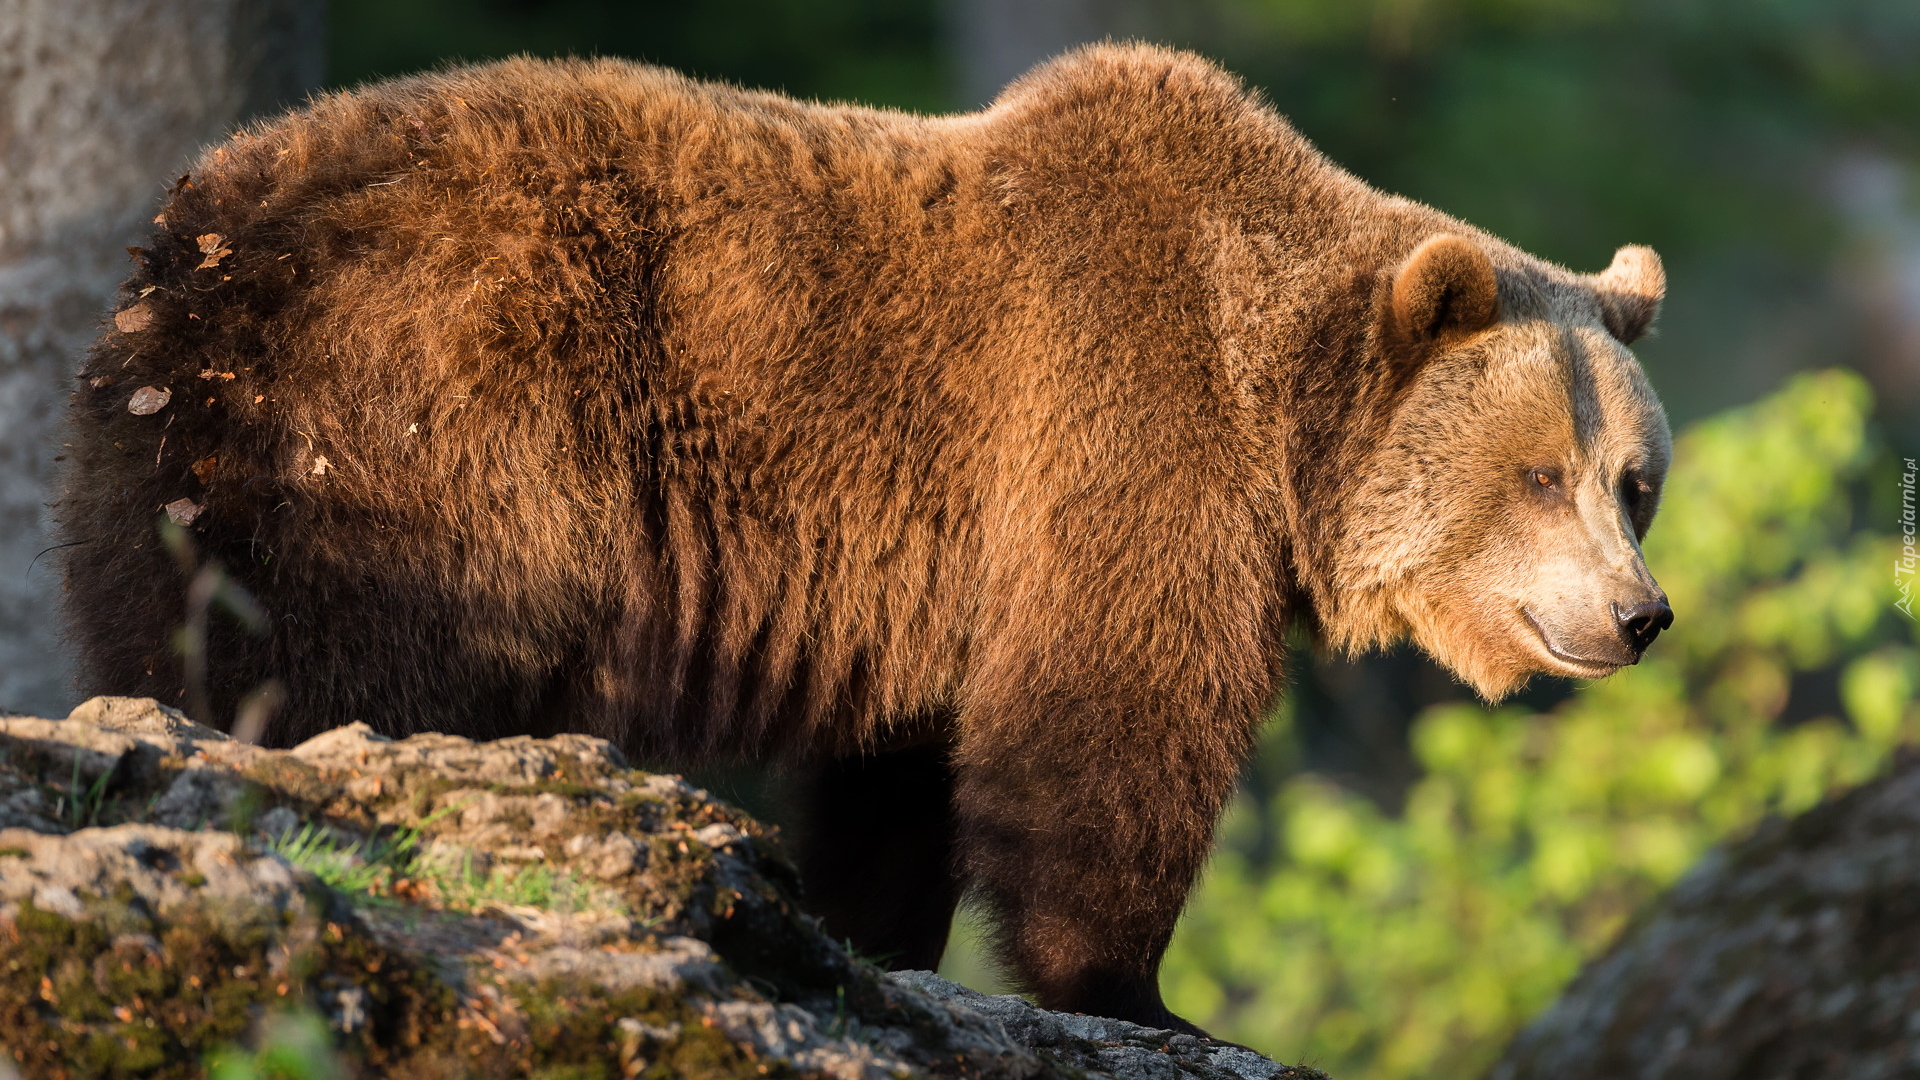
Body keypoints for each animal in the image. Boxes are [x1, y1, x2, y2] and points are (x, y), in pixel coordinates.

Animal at [60, 46, 1674, 1030]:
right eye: (1541, 473)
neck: (1272, 405)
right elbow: (1111, 721)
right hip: (426, 408)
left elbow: (906, 775)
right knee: (363, 655)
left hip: (178, 456)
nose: (1638, 612)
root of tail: (189, 244)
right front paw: (1130, 986)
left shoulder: (941, 574)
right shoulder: (1120, 430)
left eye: (1636, 480)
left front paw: (871, 934)